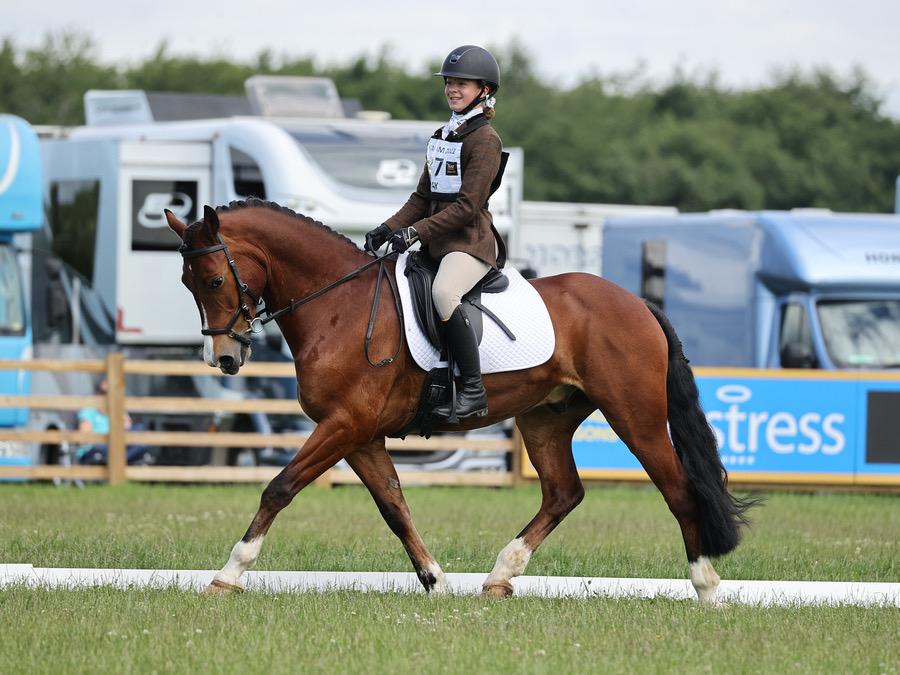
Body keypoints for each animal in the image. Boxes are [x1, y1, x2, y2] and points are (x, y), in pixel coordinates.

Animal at [163, 199, 752, 604]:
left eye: (213, 279)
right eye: (187, 283)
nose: (225, 359)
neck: (338, 304)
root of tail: (637, 302)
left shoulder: (343, 424)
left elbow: (279, 488)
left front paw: (229, 574)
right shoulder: (358, 434)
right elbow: (394, 506)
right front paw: (436, 580)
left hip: (635, 416)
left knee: (677, 489)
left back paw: (706, 586)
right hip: (545, 419)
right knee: (563, 493)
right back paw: (499, 575)